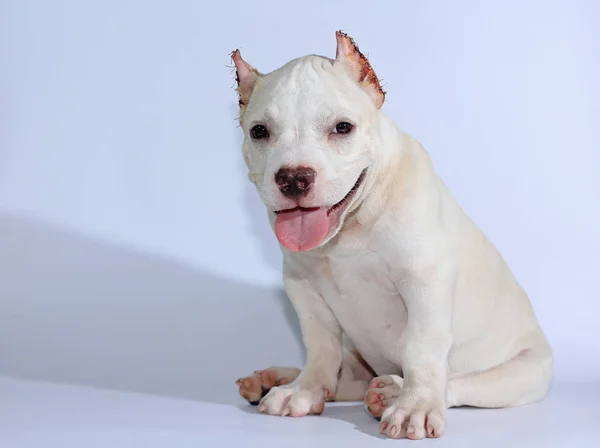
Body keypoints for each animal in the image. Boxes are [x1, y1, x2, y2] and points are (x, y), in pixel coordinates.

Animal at [230, 32, 552, 440]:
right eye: (259, 131)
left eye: (343, 127)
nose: (293, 178)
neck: (350, 226)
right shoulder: (302, 285)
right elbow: (321, 344)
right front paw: (305, 389)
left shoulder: (425, 278)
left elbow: (422, 347)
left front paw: (416, 406)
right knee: (349, 374)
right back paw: (277, 379)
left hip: (523, 374)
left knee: (458, 383)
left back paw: (394, 392)